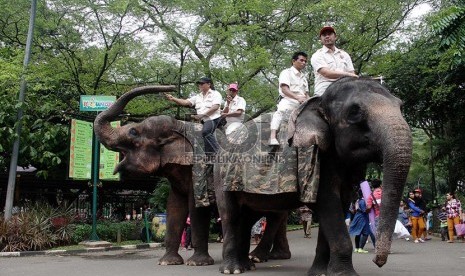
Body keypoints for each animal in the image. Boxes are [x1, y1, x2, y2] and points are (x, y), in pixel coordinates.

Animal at [214, 76, 410, 274]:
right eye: (355, 112)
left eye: (401, 106)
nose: (378, 261)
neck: (319, 101)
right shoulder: (315, 159)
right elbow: (327, 202)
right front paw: (344, 274)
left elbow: (340, 205)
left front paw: (321, 272)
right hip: (222, 175)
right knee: (230, 214)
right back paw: (232, 269)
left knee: (248, 216)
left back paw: (247, 265)